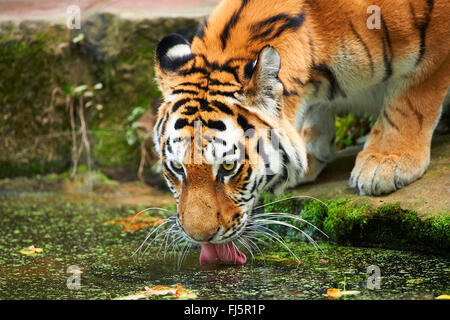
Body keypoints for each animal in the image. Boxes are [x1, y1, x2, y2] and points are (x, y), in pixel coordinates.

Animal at [152, 0, 450, 264]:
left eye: (227, 167)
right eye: (177, 168)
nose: (199, 238)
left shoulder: (435, 48)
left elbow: (410, 100)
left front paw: (387, 162)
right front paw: (309, 153)